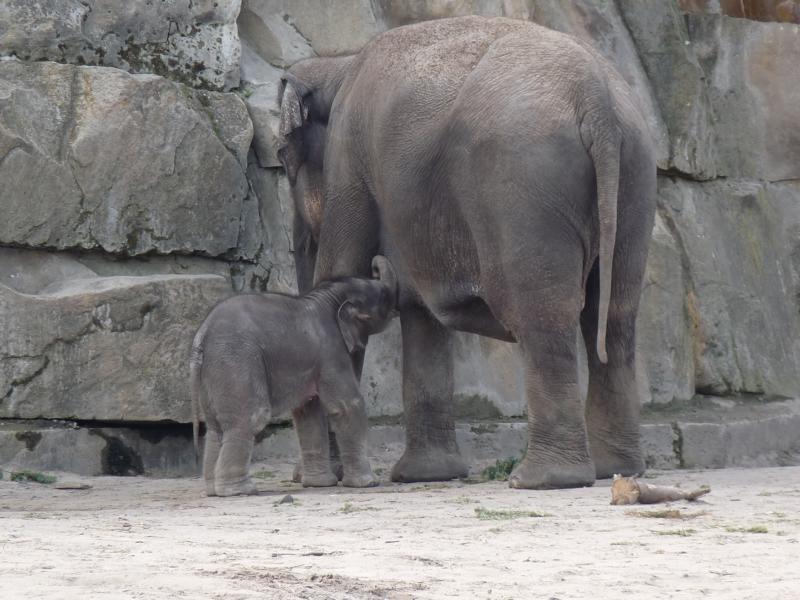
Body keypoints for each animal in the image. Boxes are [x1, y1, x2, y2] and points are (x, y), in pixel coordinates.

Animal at [190, 256, 398, 497]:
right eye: (383, 296)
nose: (374, 264)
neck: (329, 297)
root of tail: (202, 335)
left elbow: (308, 412)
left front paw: (320, 484)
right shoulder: (331, 352)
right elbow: (347, 406)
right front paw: (368, 483)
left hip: (213, 373)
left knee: (215, 428)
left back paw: (213, 490)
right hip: (236, 361)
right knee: (249, 418)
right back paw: (241, 490)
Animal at [277, 16, 657, 490]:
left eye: (282, 160)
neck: (339, 64)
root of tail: (594, 96)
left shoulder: (349, 157)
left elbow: (344, 270)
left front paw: (321, 478)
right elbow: (421, 316)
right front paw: (425, 476)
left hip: (521, 184)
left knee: (541, 314)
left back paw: (541, 478)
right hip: (635, 176)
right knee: (616, 317)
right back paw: (614, 469)